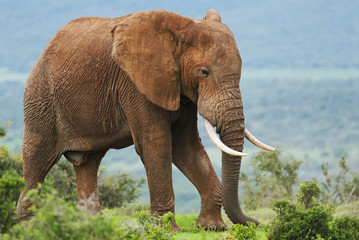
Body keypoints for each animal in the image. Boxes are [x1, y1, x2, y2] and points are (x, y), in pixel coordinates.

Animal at [16, 8, 276, 231]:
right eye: (204, 72)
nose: (255, 223)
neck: (182, 28)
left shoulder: (180, 89)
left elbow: (186, 147)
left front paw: (212, 227)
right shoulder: (135, 83)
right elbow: (157, 144)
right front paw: (166, 229)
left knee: (88, 162)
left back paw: (92, 225)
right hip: (40, 99)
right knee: (37, 160)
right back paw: (30, 227)